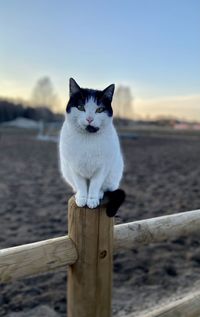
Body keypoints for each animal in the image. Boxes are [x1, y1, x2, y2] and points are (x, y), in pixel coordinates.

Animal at [59, 78, 125, 216]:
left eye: (99, 109)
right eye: (80, 107)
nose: (89, 119)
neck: (87, 138)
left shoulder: (103, 167)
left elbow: (95, 184)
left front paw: (92, 199)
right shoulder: (74, 166)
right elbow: (81, 184)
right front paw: (82, 198)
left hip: (113, 174)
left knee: (104, 188)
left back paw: (99, 194)